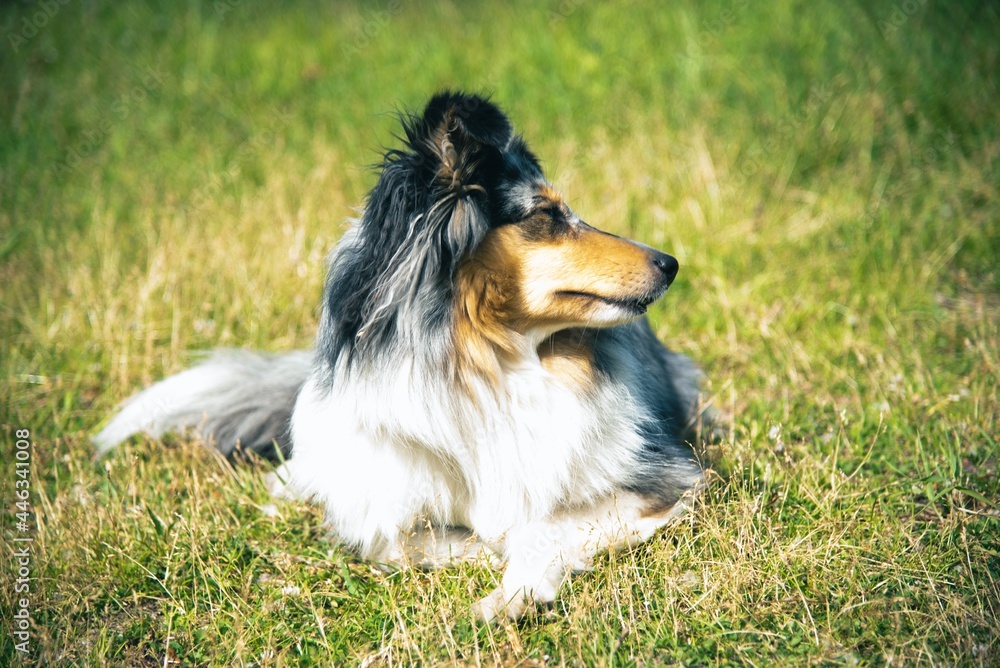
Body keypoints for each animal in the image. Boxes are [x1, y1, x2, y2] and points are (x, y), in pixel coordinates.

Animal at [92, 91, 704, 624]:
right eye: (547, 215)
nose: (671, 263)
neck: (486, 364)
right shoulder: (382, 496)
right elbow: (395, 540)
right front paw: (486, 558)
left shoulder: (663, 478)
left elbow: (538, 527)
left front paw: (509, 594)